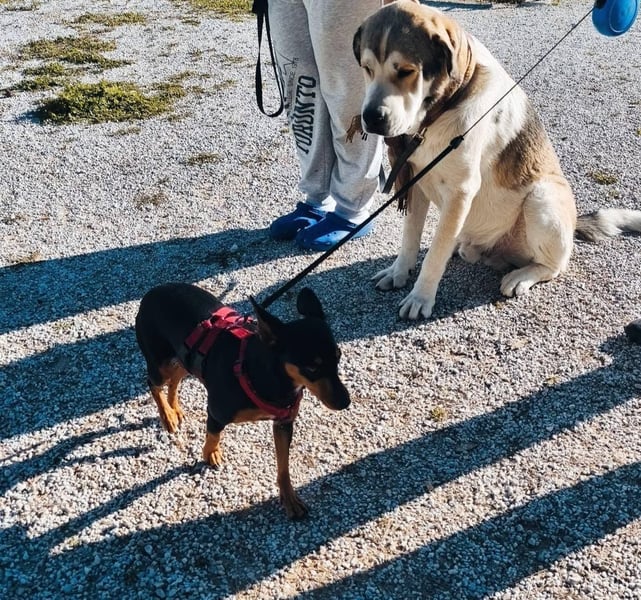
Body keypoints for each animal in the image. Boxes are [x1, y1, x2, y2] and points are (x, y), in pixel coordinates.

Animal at [135, 283, 350, 519]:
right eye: (311, 367)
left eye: (338, 355)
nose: (345, 402)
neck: (268, 375)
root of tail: (152, 291)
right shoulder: (216, 413)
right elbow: (213, 435)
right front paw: (210, 453)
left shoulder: (283, 423)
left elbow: (284, 466)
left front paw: (290, 499)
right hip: (160, 363)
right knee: (154, 383)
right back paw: (167, 416)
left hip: (185, 357)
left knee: (175, 379)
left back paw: (175, 409)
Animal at [353, 0, 641, 319]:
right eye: (366, 68)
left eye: (406, 71)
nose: (372, 118)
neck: (442, 110)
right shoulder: (414, 179)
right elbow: (410, 238)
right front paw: (400, 272)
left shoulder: (461, 190)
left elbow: (435, 254)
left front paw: (421, 297)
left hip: (542, 198)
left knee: (554, 265)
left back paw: (522, 275)